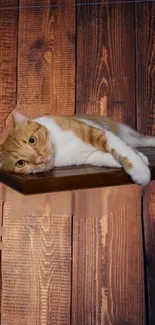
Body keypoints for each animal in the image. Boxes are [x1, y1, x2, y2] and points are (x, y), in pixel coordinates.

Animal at [0, 109, 154, 185]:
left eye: (32, 140)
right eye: (20, 163)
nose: (40, 160)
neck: (59, 147)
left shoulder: (97, 133)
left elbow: (122, 149)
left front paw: (140, 171)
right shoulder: (89, 157)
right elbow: (106, 157)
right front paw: (141, 159)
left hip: (128, 135)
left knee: (143, 139)